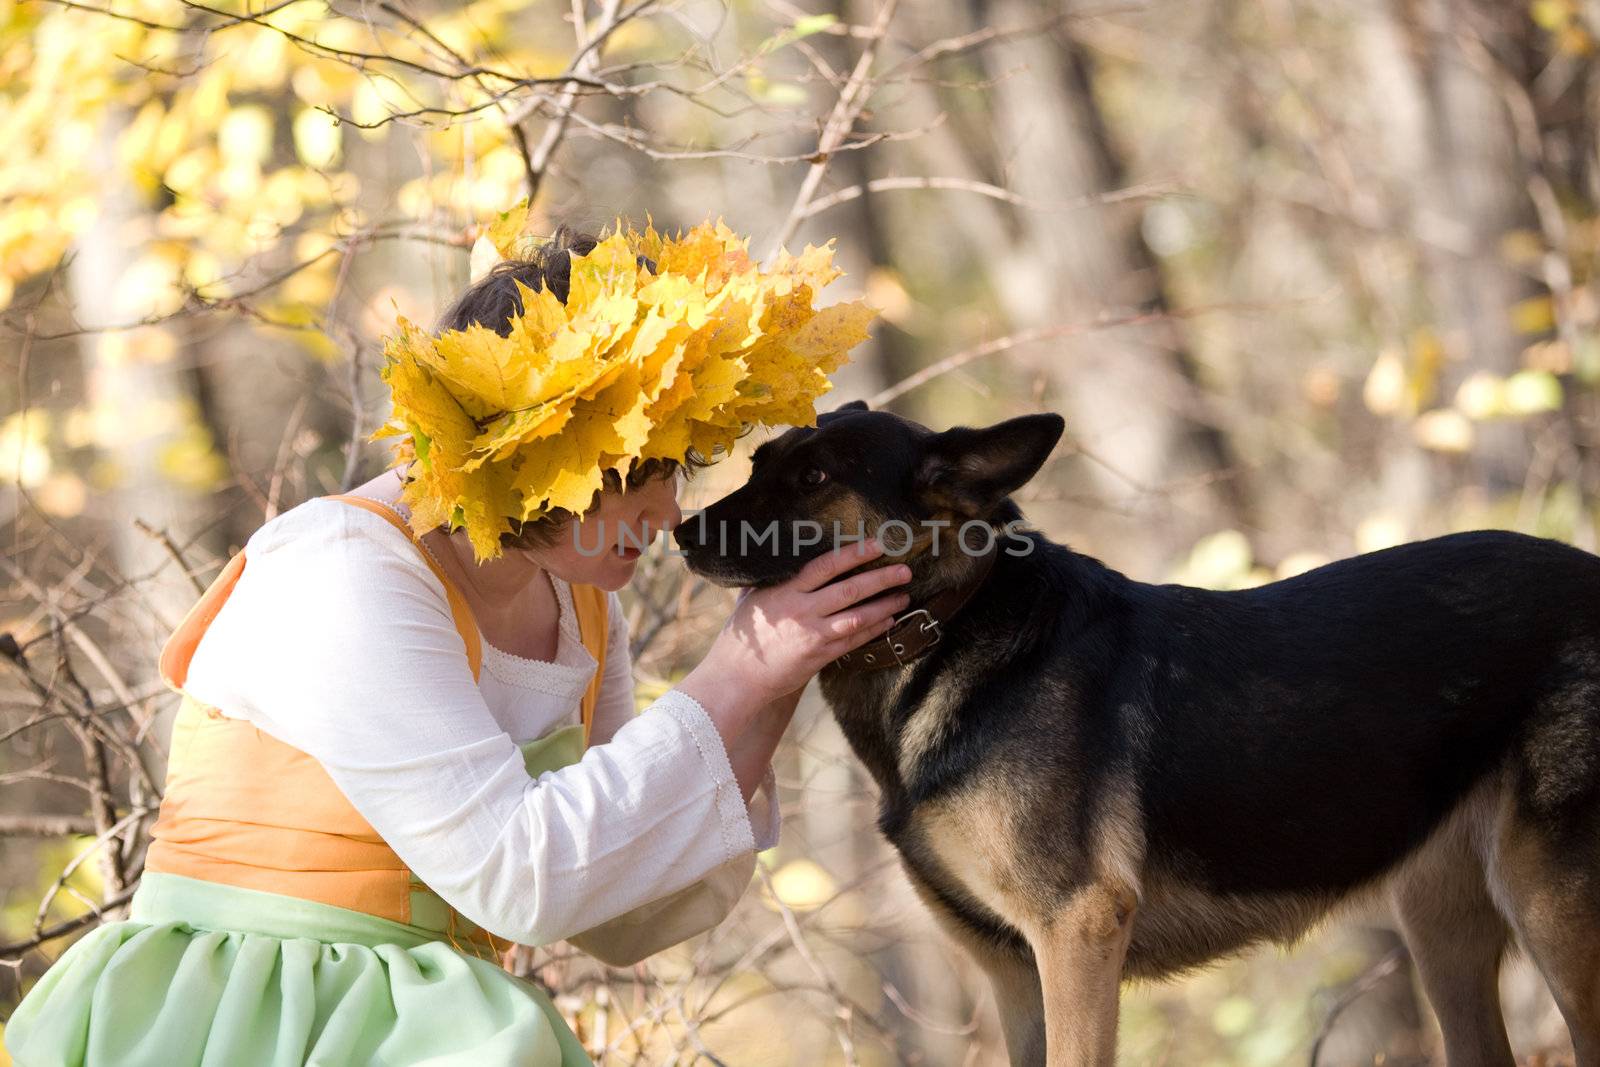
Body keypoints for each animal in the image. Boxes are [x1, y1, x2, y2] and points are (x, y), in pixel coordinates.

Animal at [678, 399, 1600, 1067]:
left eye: (815, 475)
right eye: (760, 462)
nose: (679, 532)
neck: (952, 620)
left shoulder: (1077, 934)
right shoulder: (1016, 973)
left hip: (1557, 918)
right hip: (1443, 931)